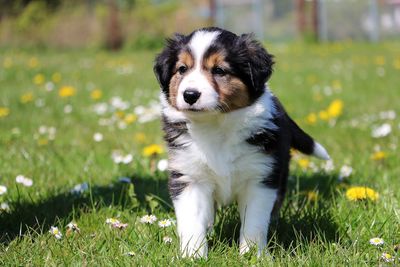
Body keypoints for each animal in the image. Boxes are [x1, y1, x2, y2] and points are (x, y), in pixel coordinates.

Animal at [153, 26, 328, 258]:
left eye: (219, 70)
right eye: (182, 69)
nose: (190, 95)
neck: (216, 126)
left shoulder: (260, 177)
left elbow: (254, 222)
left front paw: (252, 255)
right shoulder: (189, 176)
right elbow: (192, 221)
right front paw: (193, 255)